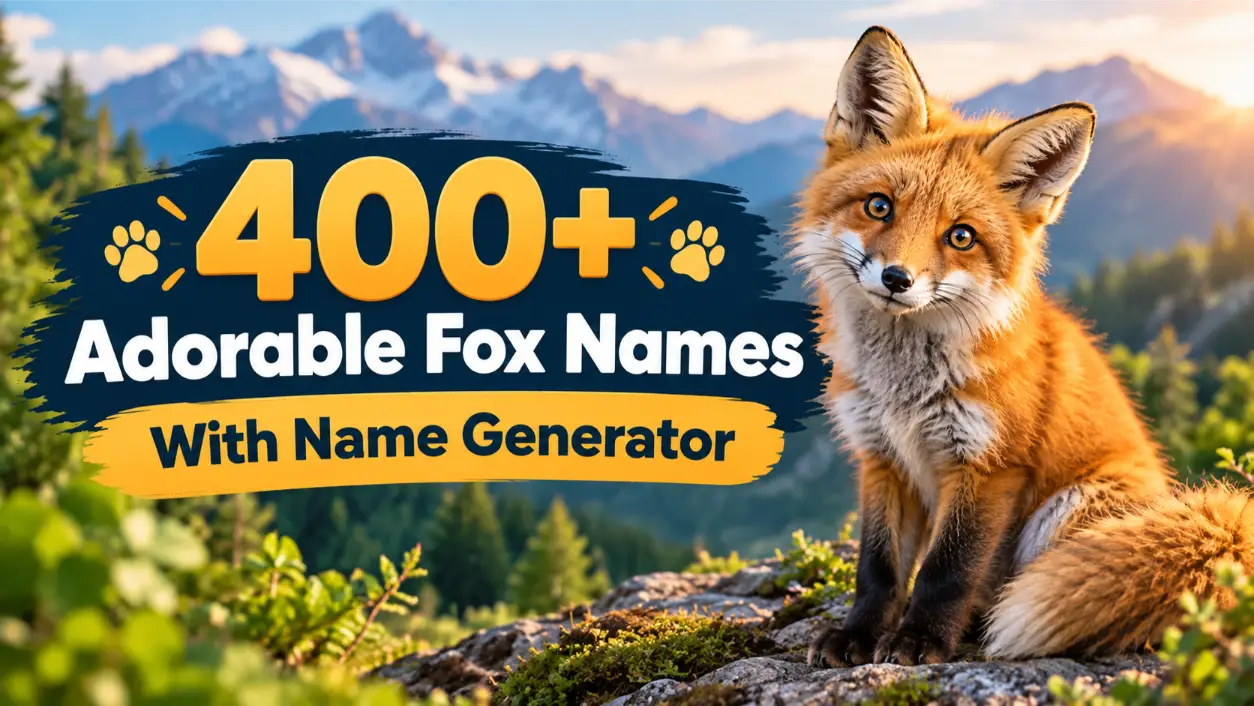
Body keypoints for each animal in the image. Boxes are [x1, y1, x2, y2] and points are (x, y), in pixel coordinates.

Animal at [795, 26, 1254, 667]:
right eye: (879, 206)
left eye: (961, 236)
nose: (896, 279)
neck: (903, 392)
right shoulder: (881, 458)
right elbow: (878, 569)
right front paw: (858, 635)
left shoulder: (989, 465)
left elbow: (947, 569)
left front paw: (920, 640)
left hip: (1068, 509)